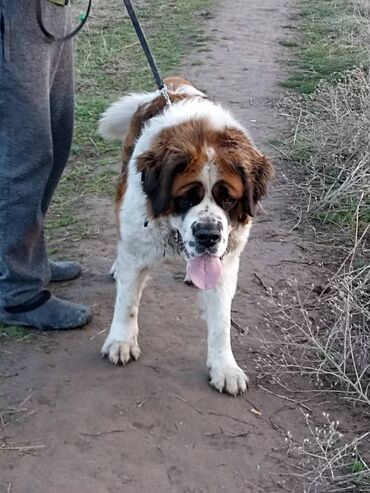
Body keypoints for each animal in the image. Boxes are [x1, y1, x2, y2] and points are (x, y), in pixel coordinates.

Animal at [98, 75, 272, 394]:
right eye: (187, 197)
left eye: (228, 199)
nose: (208, 235)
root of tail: (169, 84)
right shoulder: (137, 247)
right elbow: (127, 301)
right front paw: (121, 340)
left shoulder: (226, 263)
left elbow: (221, 322)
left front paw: (224, 367)